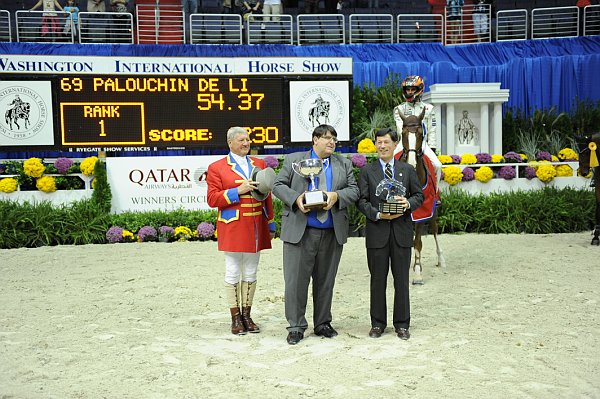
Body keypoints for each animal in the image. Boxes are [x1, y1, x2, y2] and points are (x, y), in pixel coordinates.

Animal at [396, 108, 442, 284]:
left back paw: (440, 260)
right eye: (403, 133)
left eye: (421, 133)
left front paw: (417, 273)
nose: (411, 163)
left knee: (435, 229)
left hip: (434, 210)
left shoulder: (423, 211)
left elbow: (417, 242)